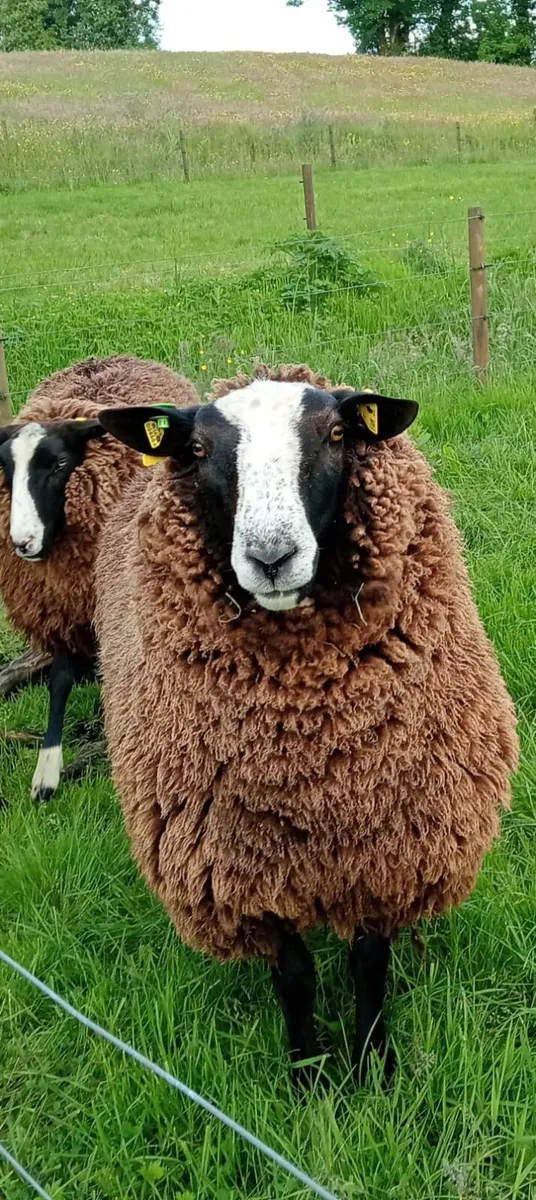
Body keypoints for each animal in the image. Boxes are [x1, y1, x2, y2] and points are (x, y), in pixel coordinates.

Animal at [0, 354, 199, 803]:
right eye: (5, 469)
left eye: (58, 464)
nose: (23, 542)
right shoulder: (56, 606)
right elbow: (58, 682)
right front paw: (48, 767)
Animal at [95, 363, 518, 1086]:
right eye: (198, 450)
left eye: (338, 434)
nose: (271, 556)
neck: (313, 762)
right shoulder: (242, 877)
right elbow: (295, 979)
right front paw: (309, 1074)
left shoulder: (387, 849)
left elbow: (369, 966)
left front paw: (374, 1066)